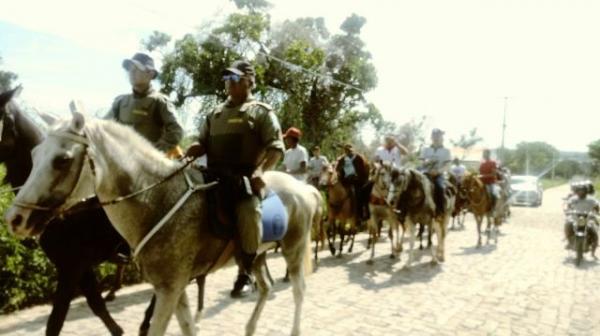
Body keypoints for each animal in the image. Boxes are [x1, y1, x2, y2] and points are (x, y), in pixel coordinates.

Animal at [7, 112, 316, 336]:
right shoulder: (172, 287)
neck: (157, 200)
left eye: (62, 160)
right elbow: (187, 327)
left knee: (300, 292)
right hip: (259, 255)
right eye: (34, 155)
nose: (15, 218)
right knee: (266, 287)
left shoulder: (168, 288)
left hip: (294, 249)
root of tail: (304, 188)